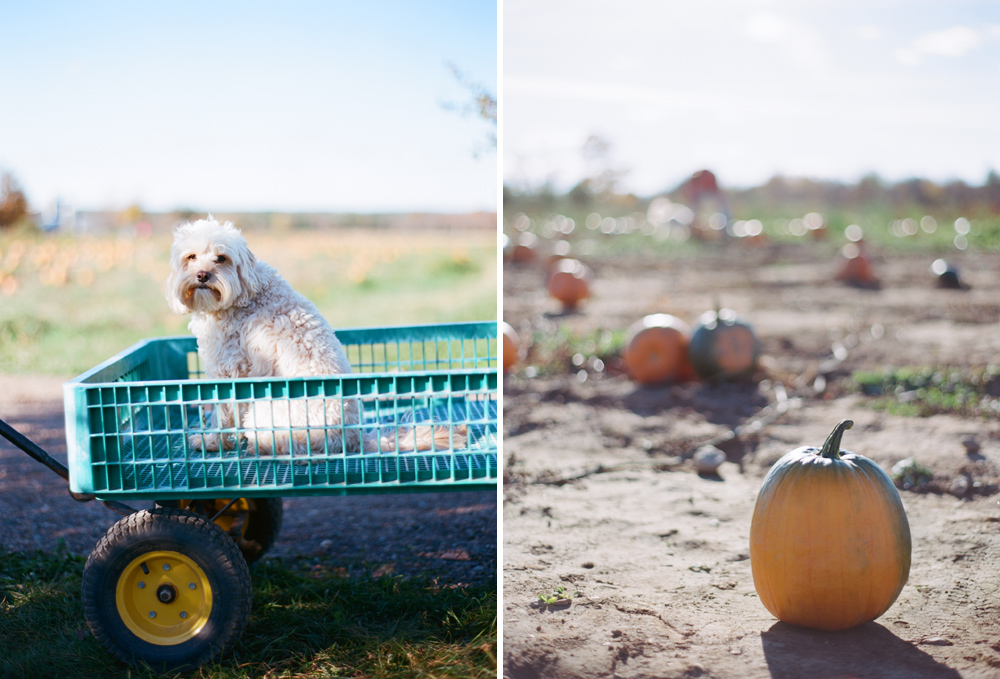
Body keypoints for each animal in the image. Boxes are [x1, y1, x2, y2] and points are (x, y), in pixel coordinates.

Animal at [166, 219, 462, 456]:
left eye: (221, 258)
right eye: (191, 257)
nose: (202, 275)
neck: (244, 293)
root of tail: (354, 439)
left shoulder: (229, 371)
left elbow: (221, 415)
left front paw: (210, 443)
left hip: (264, 412)